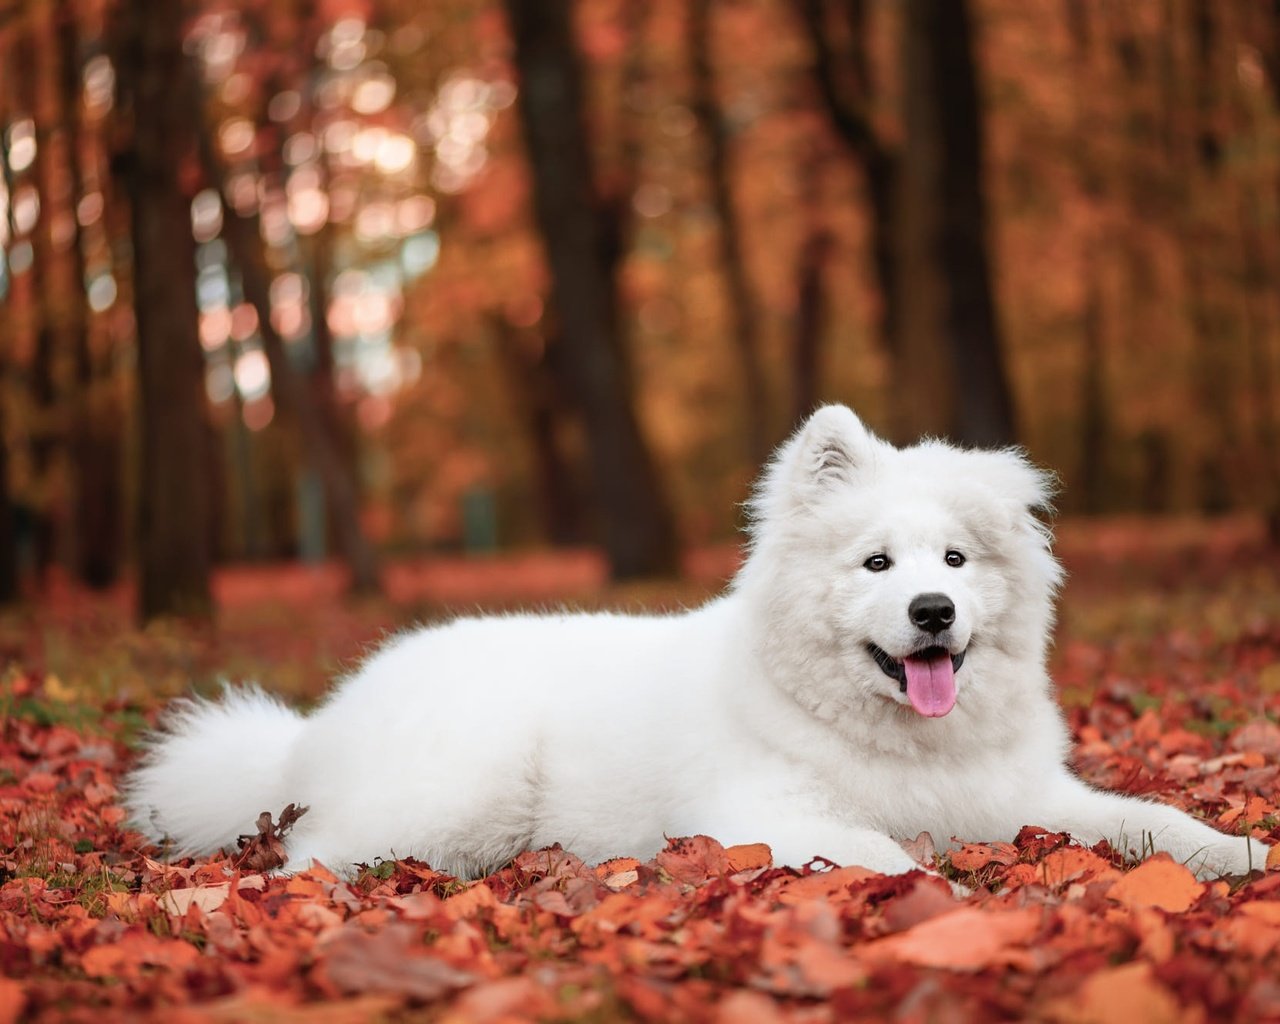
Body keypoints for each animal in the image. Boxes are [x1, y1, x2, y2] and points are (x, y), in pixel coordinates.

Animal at [122, 407, 1269, 880]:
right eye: (876, 565)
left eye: (953, 558)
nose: (934, 612)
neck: (901, 741)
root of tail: (309, 731)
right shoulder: (761, 815)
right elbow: (886, 853)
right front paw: (940, 894)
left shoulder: (1029, 797)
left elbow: (1153, 819)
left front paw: (1240, 852)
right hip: (459, 792)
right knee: (309, 857)